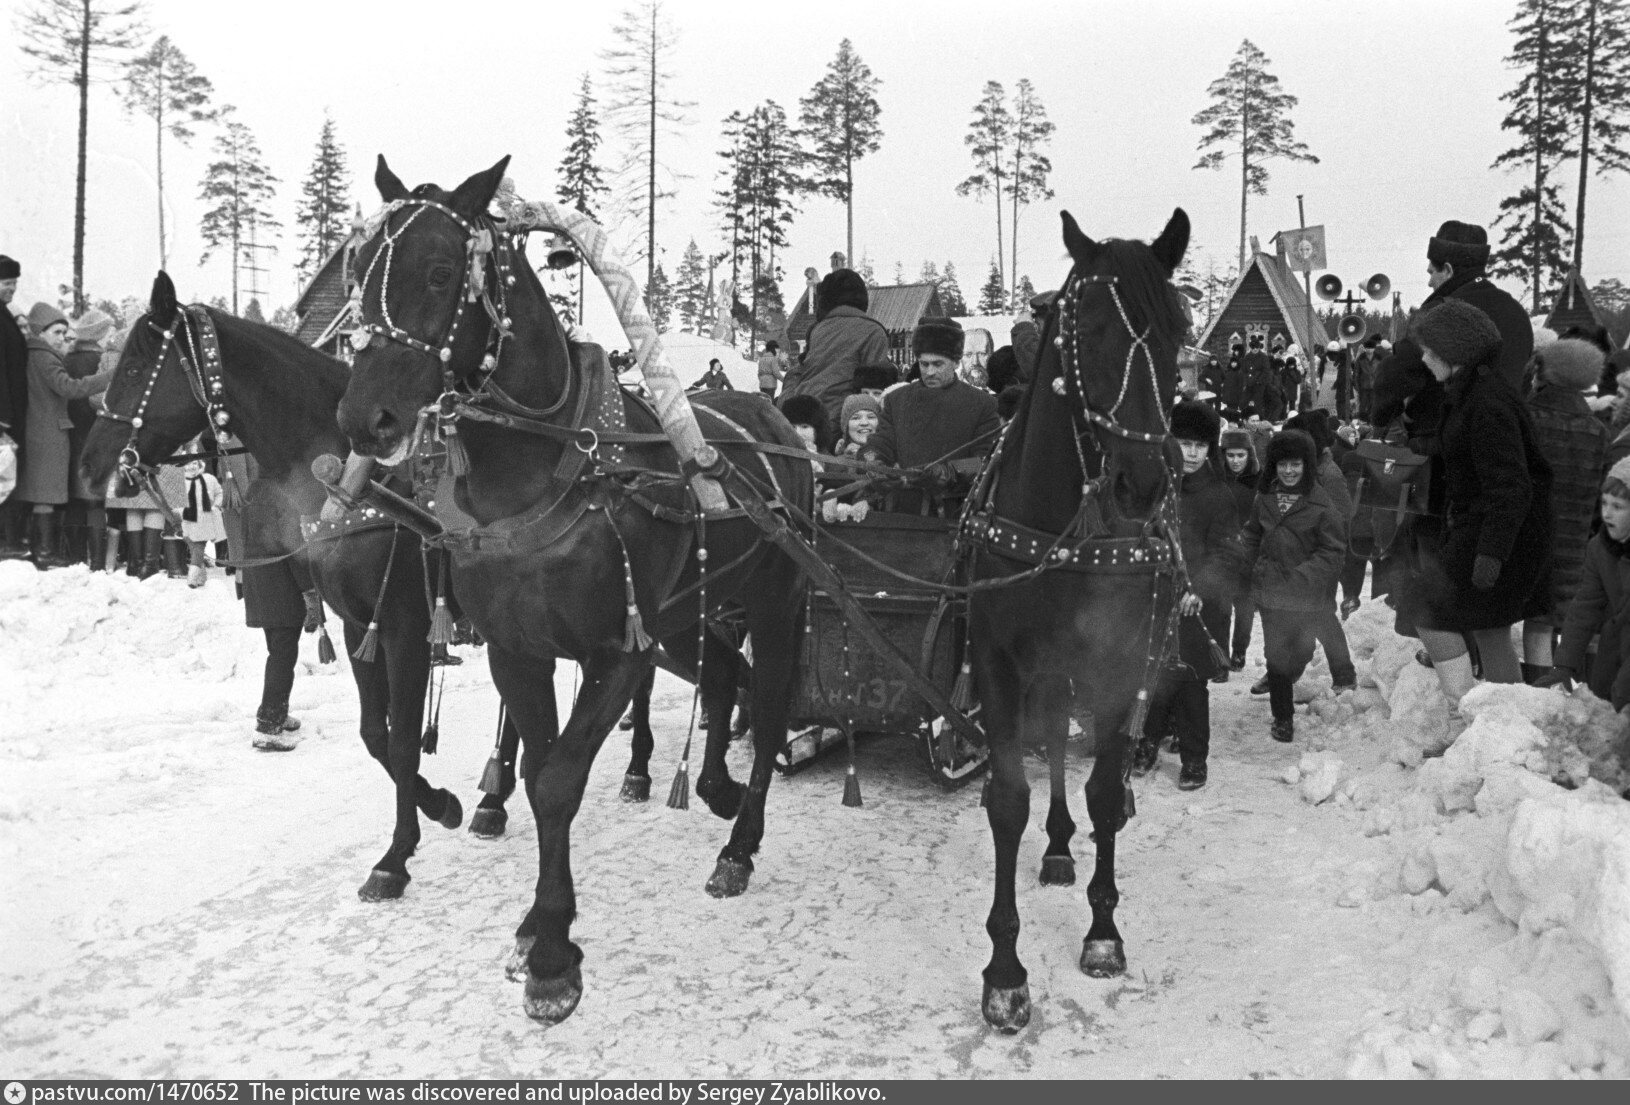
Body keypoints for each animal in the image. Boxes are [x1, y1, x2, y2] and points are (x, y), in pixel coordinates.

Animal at [81, 272, 528, 906]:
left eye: (139, 365)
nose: (93, 465)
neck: (355, 484)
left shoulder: (404, 626)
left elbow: (401, 739)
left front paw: (397, 856)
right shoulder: (360, 623)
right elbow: (375, 735)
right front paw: (438, 807)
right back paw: (494, 797)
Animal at [335, 158, 808, 1030]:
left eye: (441, 271)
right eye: (359, 274)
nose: (361, 419)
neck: (548, 464)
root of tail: (775, 417)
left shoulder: (617, 651)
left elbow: (557, 782)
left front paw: (553, 950)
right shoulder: (519, 651)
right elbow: (537, 767)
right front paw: (535, 922)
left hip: (777, 600)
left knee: (769, 703)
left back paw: (739, 842)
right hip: (691, 610)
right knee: (728, 675)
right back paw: (717, 788)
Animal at [964, 207, 1186, 1030]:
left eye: (1180, 330)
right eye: (1087, 330)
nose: (1142, 483)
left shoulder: (1120, 661)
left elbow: (1102, 792)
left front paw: (1103, 930)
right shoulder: (998, 661)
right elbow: (1008, 799)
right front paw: (1005, 970)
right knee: (1055, 737)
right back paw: (1056, 847)